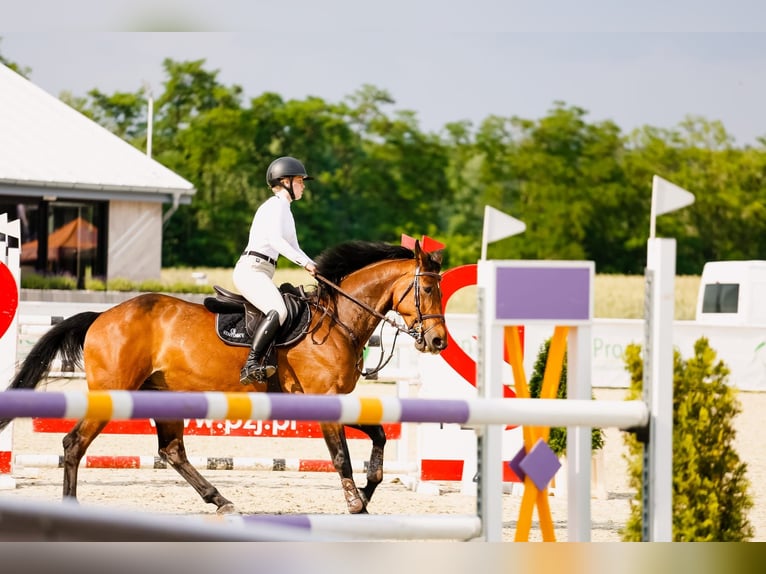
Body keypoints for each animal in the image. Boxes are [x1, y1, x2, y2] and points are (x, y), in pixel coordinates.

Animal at [0, 241, 448, 516]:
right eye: (427, 289)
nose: (438, 341)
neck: (337, 320)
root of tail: (102, 316)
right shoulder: (323, 399)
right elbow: (341, 455)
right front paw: (355, 501)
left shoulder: (336, 399)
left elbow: (379, 435)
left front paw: (368, 491)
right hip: (113, 392)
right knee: (74, 443)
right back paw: (71, 505)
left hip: (164, 395)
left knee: (172, 451)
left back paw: (220, 500)